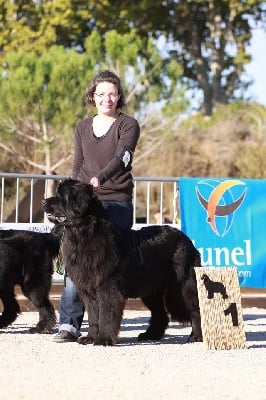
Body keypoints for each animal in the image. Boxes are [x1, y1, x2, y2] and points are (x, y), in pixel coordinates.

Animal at [42, 180, 203, 346]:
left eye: (61, 196)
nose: (43, 202)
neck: (85, 233)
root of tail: (187, 240)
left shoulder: (107, 287)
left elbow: (106, 315)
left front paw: (104, 339)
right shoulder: (89, 288)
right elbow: (93, 316)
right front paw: (90, 337)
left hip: (183, 285)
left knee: (196, 309)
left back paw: (195, 337)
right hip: (150, 288)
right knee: (160, 314)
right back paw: (150, 335)